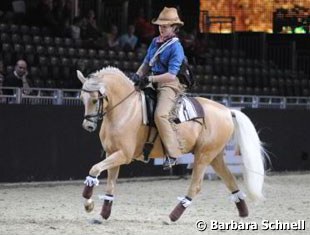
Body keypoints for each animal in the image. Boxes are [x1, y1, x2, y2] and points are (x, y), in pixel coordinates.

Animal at [77, 66, 266, 222]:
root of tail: (227, 110)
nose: (88, 126)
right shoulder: (112, 153)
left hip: (203, 156)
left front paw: (87, 200)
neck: (126, 110)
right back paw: (243, 212)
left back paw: (173, 216)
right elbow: (110, 183)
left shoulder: (123, 155)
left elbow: (94, 169)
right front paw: (100, 212)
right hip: (215, 156)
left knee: (196, 186)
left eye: (95, 100)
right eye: (82, 98)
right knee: (230, 180)